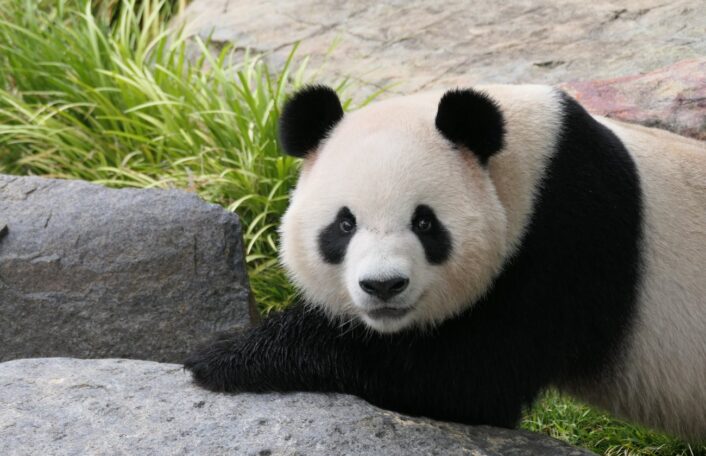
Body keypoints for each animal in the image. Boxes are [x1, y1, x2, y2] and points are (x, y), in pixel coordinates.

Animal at [185, 84, 706, 440]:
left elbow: (462, 377)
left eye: (425, 223)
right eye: (345, 224)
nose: (383, 286)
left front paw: (222, 355)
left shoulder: (567, 241)